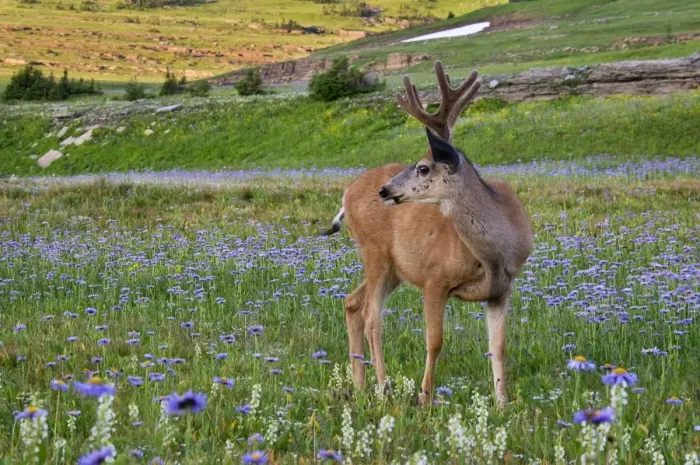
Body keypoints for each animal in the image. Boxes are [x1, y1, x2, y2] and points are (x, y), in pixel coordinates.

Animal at [324, 61, 533, 408]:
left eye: (423, 167)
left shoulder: (502, 289)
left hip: (395, 268)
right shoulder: (435, 279)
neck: (492, 253)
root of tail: (346, 193)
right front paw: (424, 397)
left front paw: (502, 403)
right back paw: (384, 388)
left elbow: (499, 346)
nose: (385, 190)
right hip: (374, 251)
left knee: (352, 302)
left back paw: (360, 385)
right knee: (372, 316)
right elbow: (435, 341)